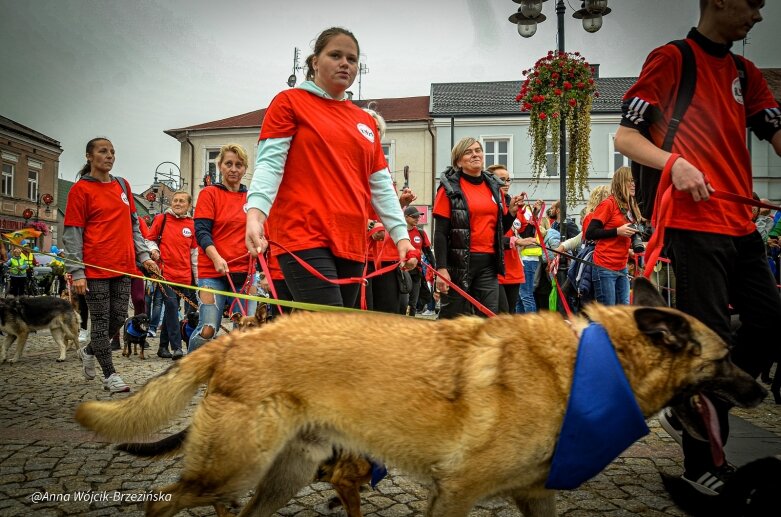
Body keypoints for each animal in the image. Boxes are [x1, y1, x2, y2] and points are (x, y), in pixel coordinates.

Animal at [76, 280, 764, 512]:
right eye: (726, 359)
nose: (760, 389)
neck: (592, 363)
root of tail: (237, 339)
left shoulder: (535, 497)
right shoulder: (455, 495)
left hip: (282, 474)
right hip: (232, 468)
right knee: (161, 503)